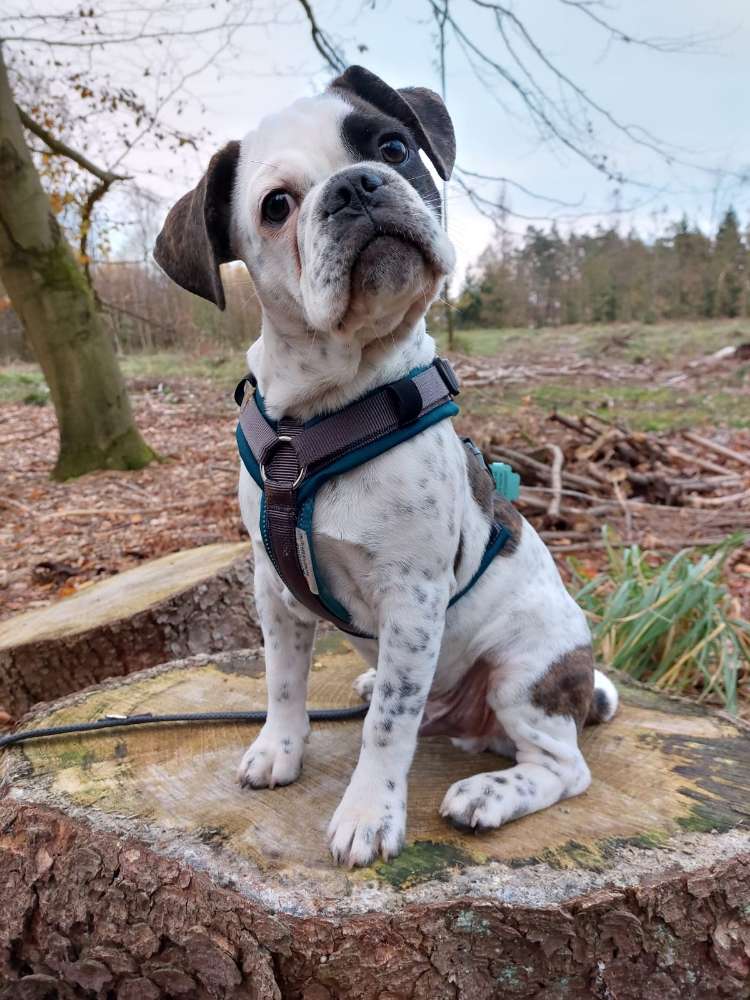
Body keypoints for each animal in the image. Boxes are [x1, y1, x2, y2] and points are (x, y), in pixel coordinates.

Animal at [156, 66, 620, 872]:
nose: (356, 186)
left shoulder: (411, 595)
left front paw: (369, 813)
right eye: (275, 207)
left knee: (563, 767)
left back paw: (488, 794)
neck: (325, 412)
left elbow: (386, 728)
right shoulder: (274, 591)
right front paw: (280, 749)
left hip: (523, 671)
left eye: (395, 148)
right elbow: (284, 683)